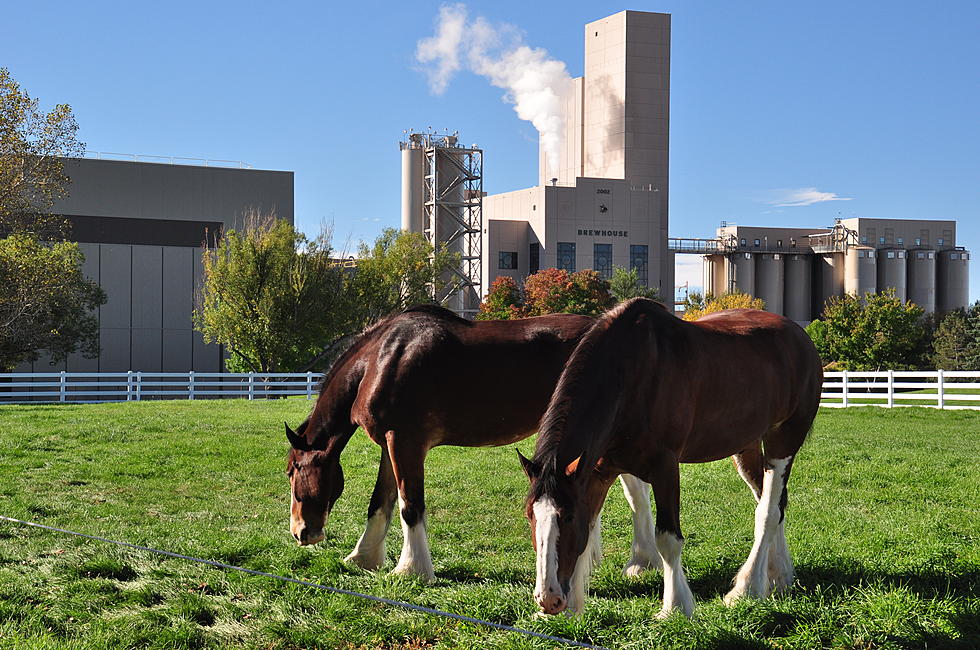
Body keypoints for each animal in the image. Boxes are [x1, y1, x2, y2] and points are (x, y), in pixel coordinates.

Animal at [288, 304, 664, 584]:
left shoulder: (405, 442)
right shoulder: (389, 446)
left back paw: (641, 562)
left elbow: (410, 507)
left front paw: (413, 570)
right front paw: (363, 557)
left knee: (634, 491)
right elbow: (380, 502)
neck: (382, 359)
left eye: (292, 470)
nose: (300, 532)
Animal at [524, 296, 824, 616]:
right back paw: (779, 576)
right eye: (530, 515)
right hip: (747, 446)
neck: (631, 374)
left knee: (768, 511)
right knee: (773, 501)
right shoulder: (597, 473)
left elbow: (667, 539)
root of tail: (800, 336)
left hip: (784, 440)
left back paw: (747, 588)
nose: (548, 599)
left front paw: (675, 606)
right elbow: (589, 527)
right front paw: (571, 607)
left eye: (566, 517)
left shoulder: (665, 468)